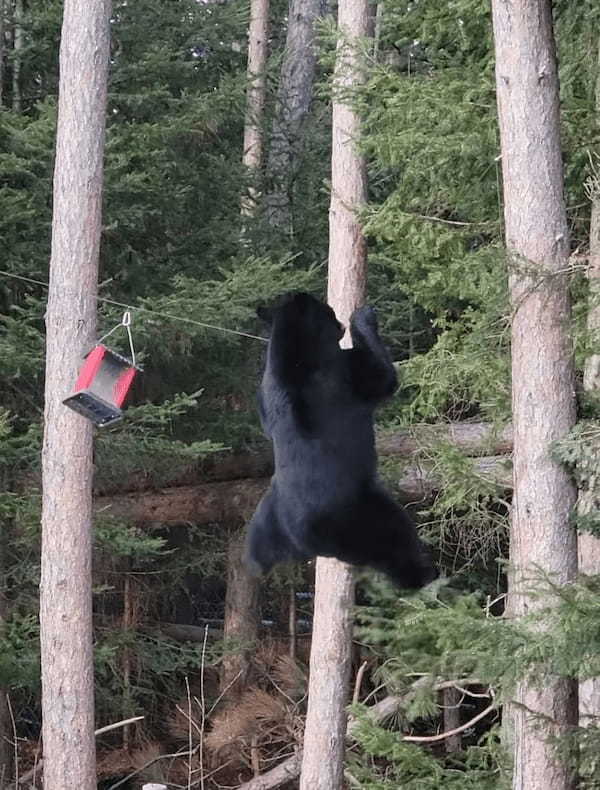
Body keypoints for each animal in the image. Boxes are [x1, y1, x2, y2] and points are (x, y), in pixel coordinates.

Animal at [246, 294, 438, 592]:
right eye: (330, 313)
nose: (340, 324)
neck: (293, 360)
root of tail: (308, 544)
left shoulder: (266, 391)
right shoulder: (345, 371)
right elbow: (382, 377)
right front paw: (362, 316)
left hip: (266, 519)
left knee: (255, 552)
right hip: (367, 514)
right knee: (398, 542)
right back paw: (426, 575)